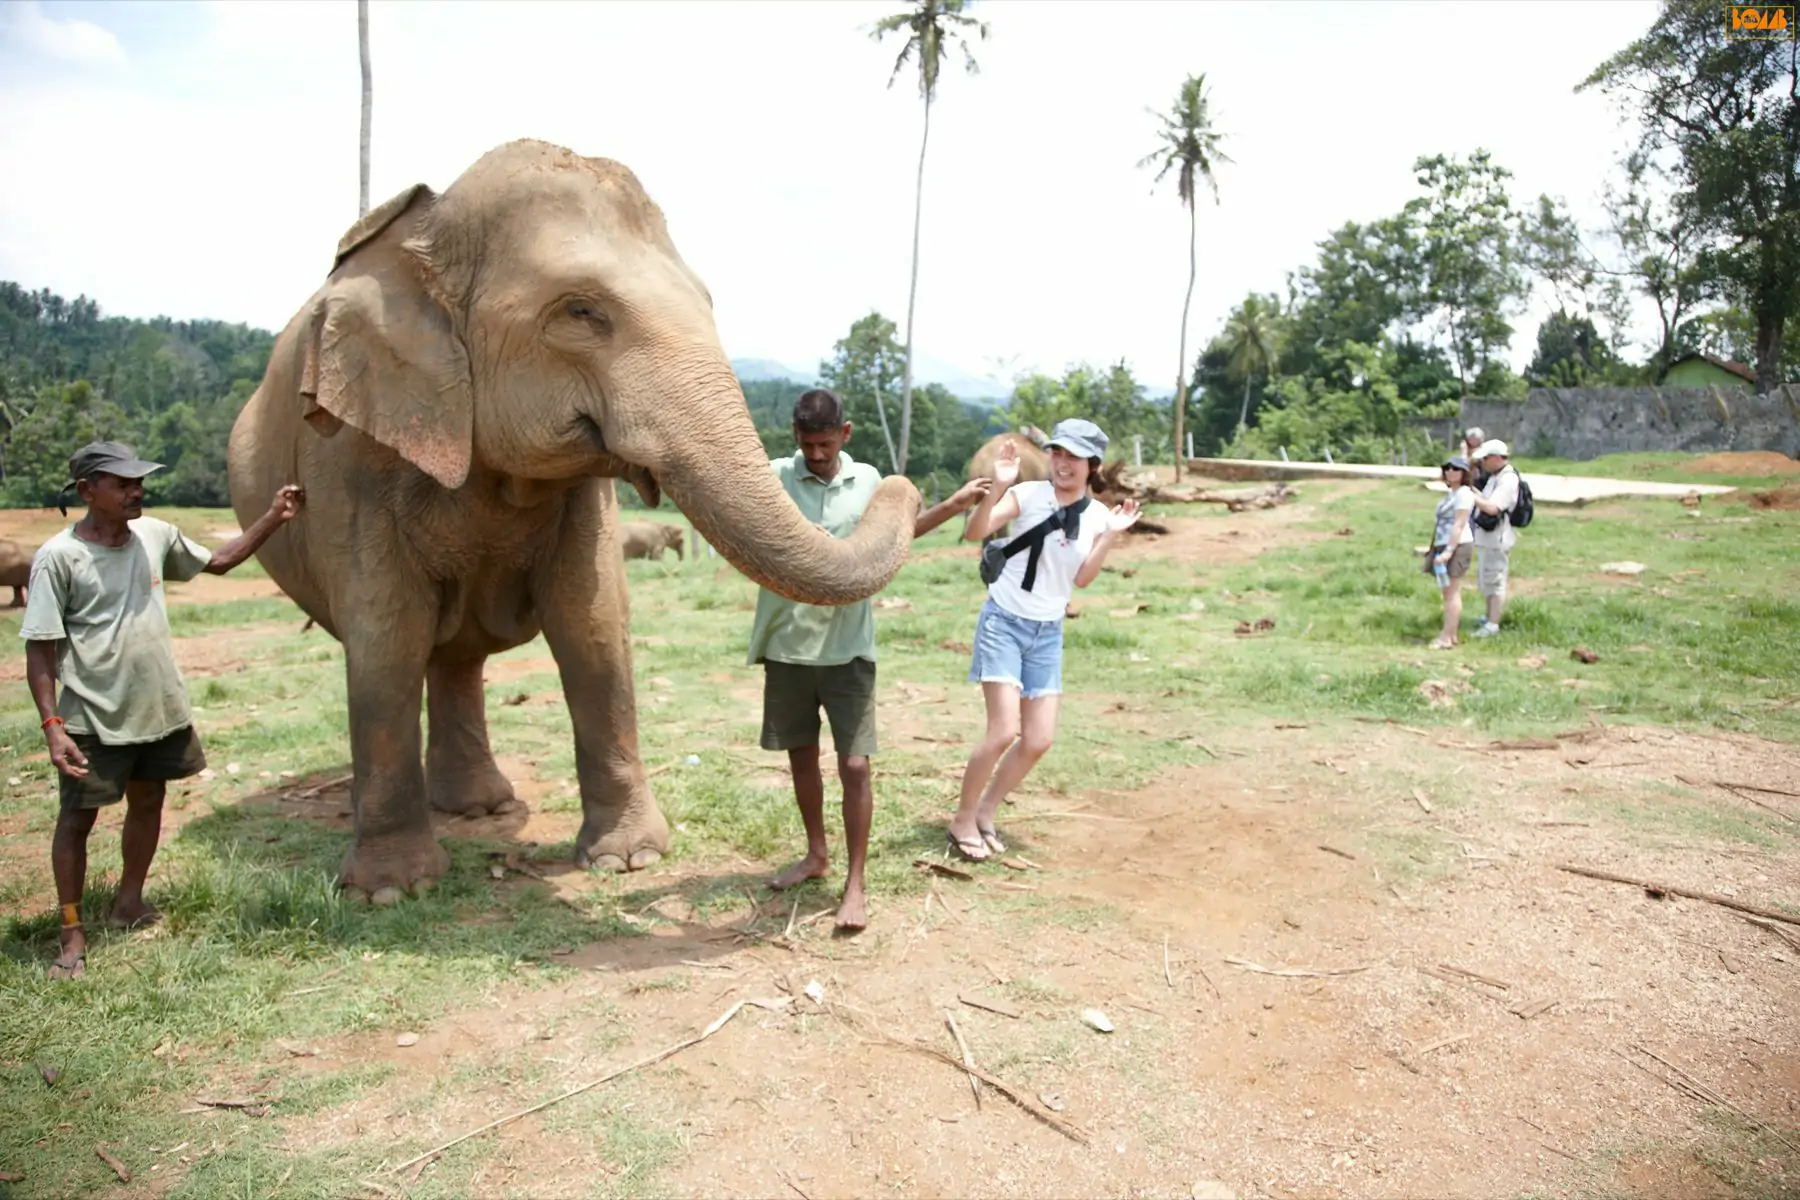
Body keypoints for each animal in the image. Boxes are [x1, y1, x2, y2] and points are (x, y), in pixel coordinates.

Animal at [226, 141, 921, 899]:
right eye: (582, 310)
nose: (906, 485)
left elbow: (592, 622)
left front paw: (628, 859)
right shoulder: (351, 458)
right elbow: (386, 637)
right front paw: (391, 890)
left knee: (456, 657)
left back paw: (478, 806)